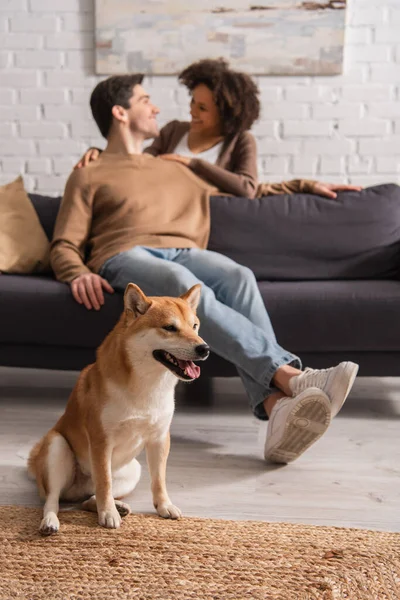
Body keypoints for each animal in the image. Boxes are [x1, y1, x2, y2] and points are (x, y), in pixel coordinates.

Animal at [28, 284, 209, 536]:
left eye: (194, 326)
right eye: (170, 328)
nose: (204, 348)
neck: (147, 384)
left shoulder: (159, 438)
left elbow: (159, 480)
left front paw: (164, 506)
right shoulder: (101, 440)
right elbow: (104, 482)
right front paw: (107, 514)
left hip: (132, 470)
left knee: (88, 499)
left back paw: (116, 505)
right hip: (57, 448)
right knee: (53, 499)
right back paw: (51, 521)